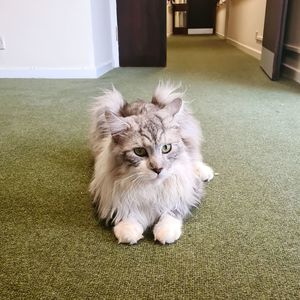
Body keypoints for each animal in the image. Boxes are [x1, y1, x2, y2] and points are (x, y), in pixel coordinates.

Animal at [89, 81, 213, 244]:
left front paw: (165, 231)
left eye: (166, 148)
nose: (158, 169)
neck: (150, 188)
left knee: (193, 155)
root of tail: (144, 102)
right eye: (139, 152)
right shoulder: (107, 194)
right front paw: (128, 231)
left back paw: (204, 172)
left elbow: (172, 211)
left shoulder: (188, 192)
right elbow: (126, 213)